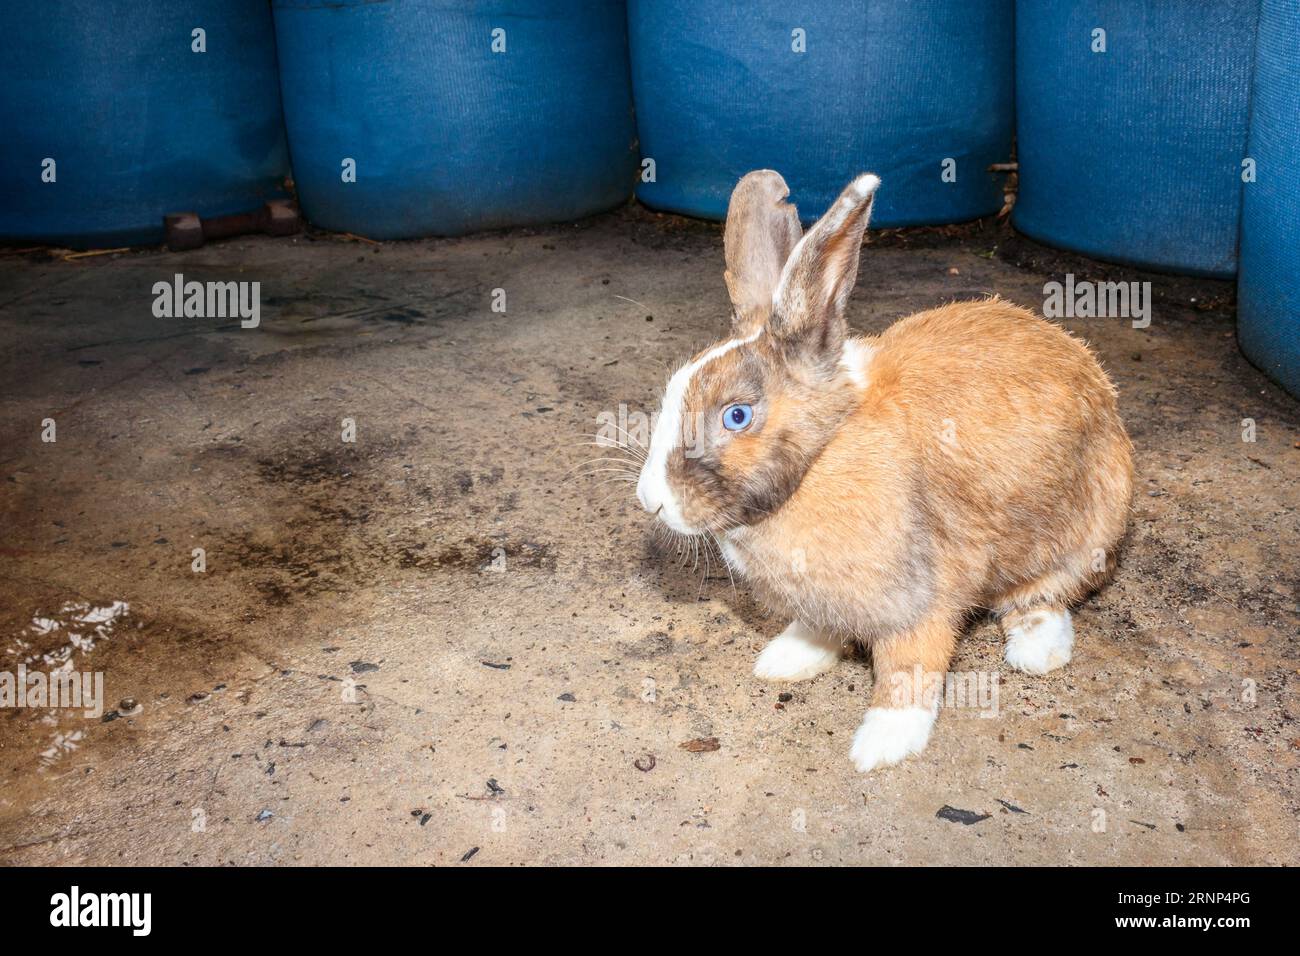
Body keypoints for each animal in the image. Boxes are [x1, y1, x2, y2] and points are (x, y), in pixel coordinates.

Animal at [635, 170, 1133, 772]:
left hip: (1089, 532)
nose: (651, 500)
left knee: (1042, 595)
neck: (823, 455)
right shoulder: (826, 600)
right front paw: (785, 660)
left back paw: (1038, 650)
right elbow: (820, 629)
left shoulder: (921, 604)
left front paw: (880, 746)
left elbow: (908, 671)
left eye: (737, 415)